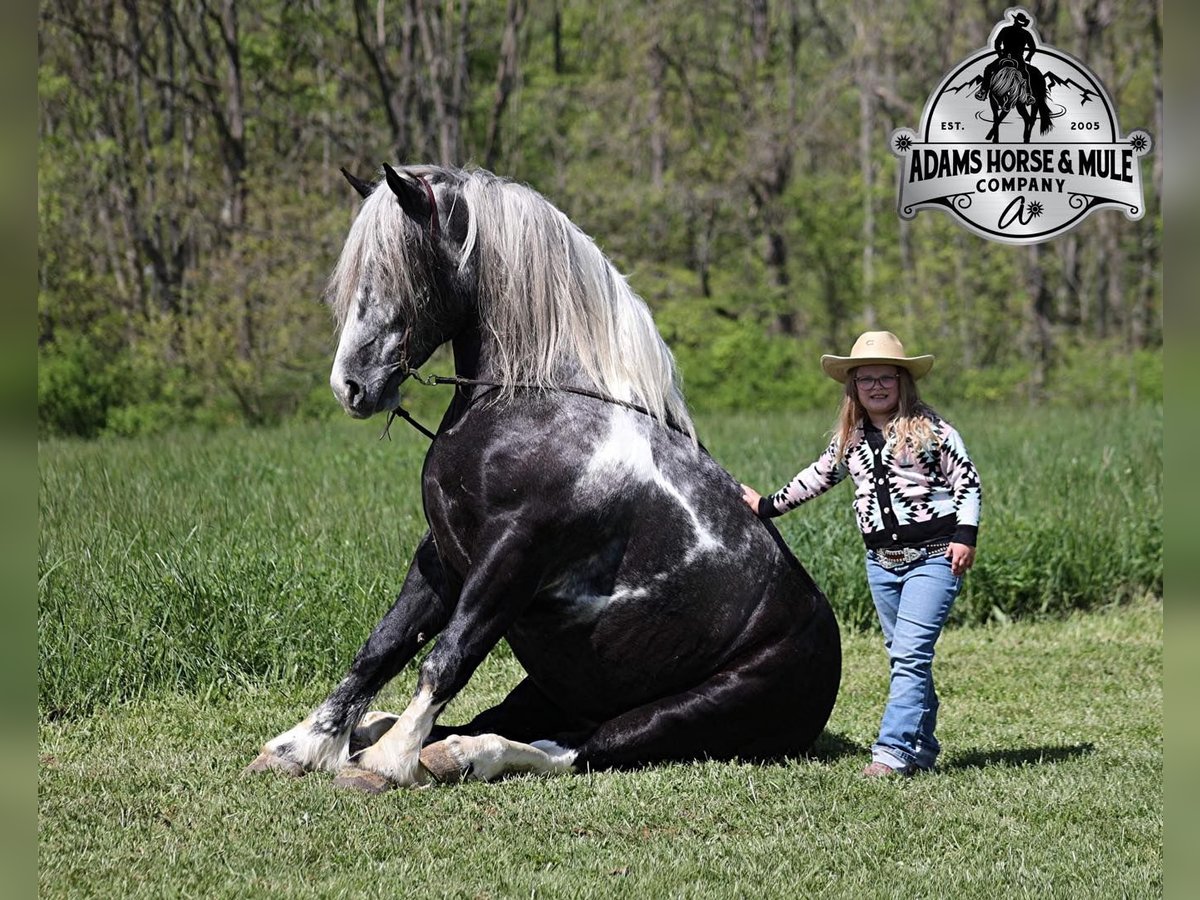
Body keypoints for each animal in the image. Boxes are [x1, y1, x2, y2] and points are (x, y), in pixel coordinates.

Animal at [245, 164, 841, 791]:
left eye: (401, 270)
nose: (351, 386)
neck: (537, 406)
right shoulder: (443, 555)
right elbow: (383, 647)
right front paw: (303, 746)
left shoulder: (513, 555)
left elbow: (448, 656)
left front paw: (388, 763)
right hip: (550, 685)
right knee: (506, 722)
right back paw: (398, 736)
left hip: (682, 713)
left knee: (575, 748)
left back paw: (451, 755)